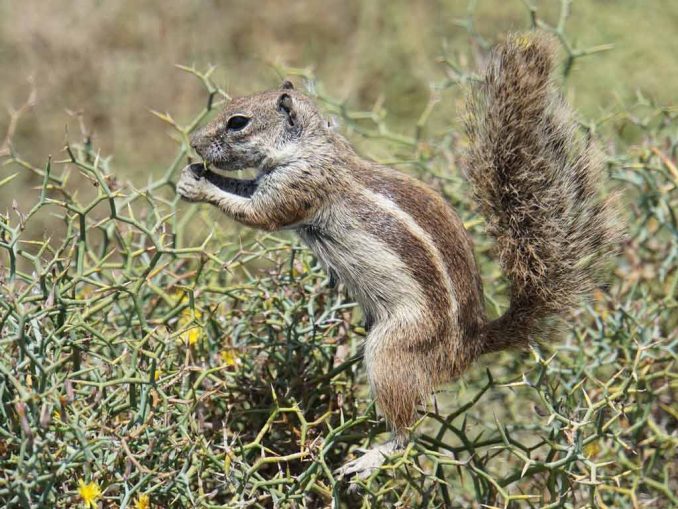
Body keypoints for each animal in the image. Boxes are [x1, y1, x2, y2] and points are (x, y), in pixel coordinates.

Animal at [175, 33, 620, 478]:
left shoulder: (297, 190)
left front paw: (200, 186)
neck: (313, 148)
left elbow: (256, 213)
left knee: (409, 431)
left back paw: (372, 457)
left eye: (238, 122)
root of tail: (472, 345)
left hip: (393, 351)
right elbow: (244, 190)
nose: (194, 142)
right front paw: (195, 173)